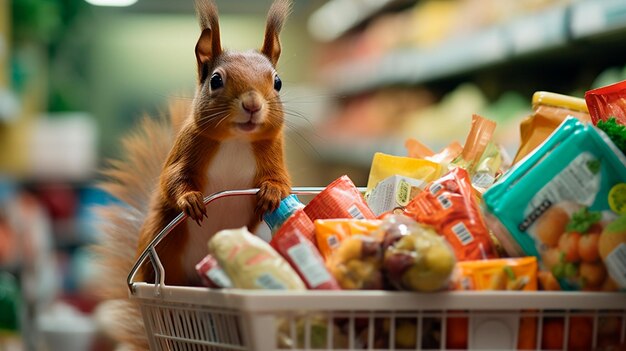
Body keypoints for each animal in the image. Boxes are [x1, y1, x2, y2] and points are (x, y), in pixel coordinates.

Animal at [93, 0, 292, 350]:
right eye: (215, 80)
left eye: (278, 82)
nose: (252, 105)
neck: (236, 140)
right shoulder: (185, 152)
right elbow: (173, 181)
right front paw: (191, 201)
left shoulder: (274, 156)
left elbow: (281, 181)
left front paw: (270, 194)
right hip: (161, 249)